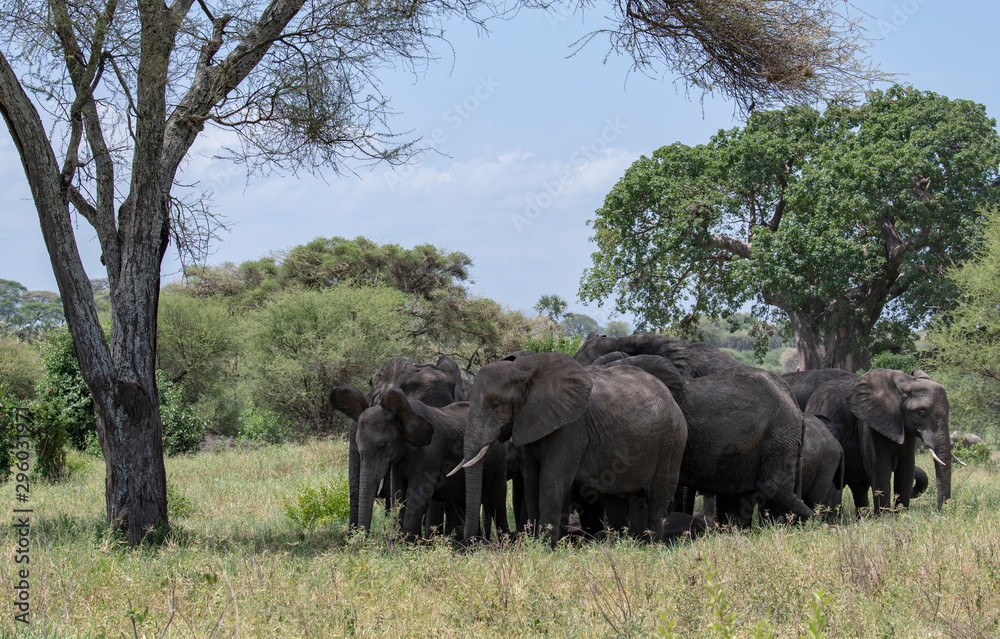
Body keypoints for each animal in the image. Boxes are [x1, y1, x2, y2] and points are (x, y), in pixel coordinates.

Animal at [331, 386, 508, 540]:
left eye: (382, 446)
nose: (363, 542)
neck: (404, 415)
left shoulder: (429, 454)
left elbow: (415, 498)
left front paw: (404, 546)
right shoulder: (398, 462)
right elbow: (398, 496)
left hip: (498, 462)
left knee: (497, 503)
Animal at [451, 352, 688, 546]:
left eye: (495, 405)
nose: (472, 543)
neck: (526, 371)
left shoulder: (570, 428)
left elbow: (552, 480)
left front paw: (544, 548)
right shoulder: (533, 421)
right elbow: (532, 479)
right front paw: (535, 545)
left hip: (671, 443)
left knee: (658, 499)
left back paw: (653, 546)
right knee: (614, 500)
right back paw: (618, 545)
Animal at [804, 369, 952, 514]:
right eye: (922, 414)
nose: (940, 511)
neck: (904, 384)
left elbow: (906, 467)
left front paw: (902, 514)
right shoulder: (869, 422)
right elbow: (879, 466)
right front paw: (885, 516)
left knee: (859, 487)